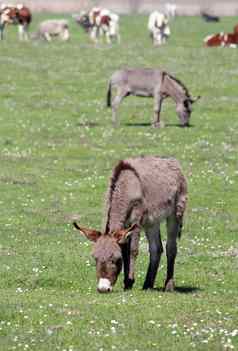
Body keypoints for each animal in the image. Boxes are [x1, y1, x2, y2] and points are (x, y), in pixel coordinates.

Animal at [73, 157, 188, 294]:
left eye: (116, 259)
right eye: (95, 258)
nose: (103, 289)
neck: (126, 186)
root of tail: (171, 160)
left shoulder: (135, 222)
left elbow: (133, 250)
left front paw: (129, 281)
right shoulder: (125, 227)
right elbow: (125, 251)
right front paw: (127, 283)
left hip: (175, 213)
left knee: (171, 248)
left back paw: (169, 286)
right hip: (151, 222)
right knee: (156, 248)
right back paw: (147, 284)